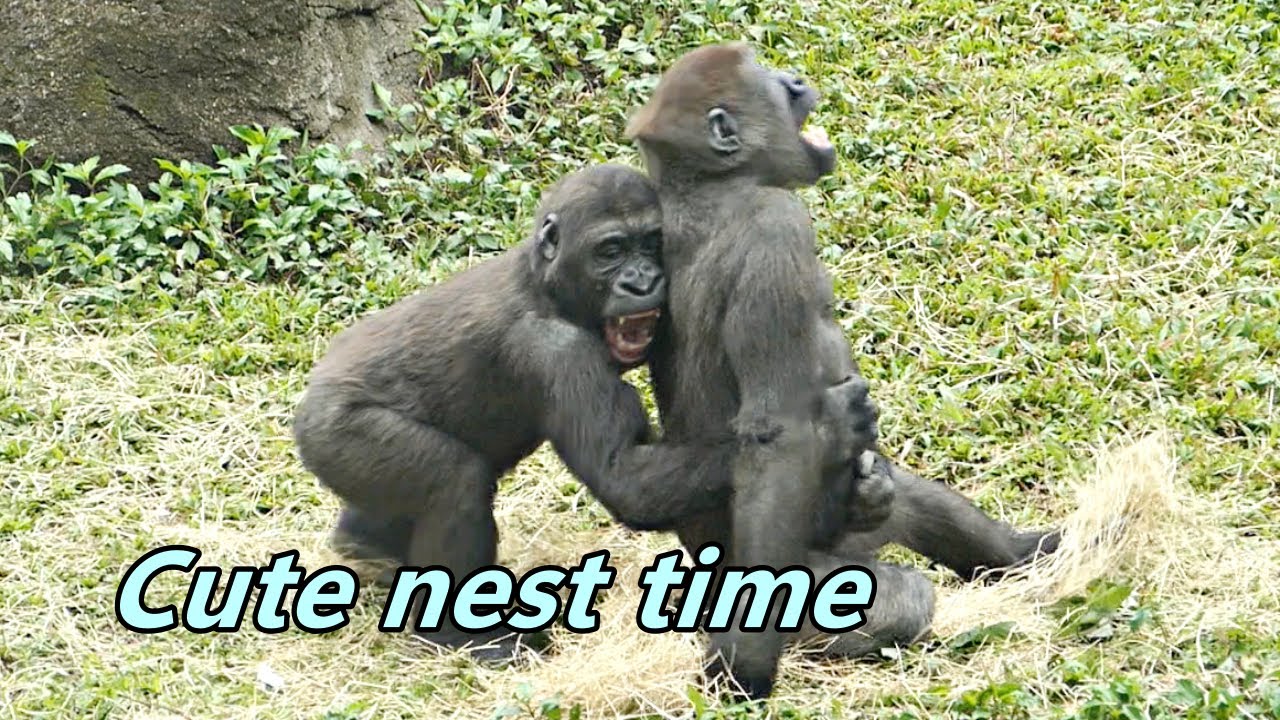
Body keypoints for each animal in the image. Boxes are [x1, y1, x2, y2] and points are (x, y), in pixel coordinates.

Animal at [291, 163, 880, 662]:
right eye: (611, 250)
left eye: (651, 244)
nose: (643, 281)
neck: (547, 287)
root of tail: (312, 389)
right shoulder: (558, 352)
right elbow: (626, 479)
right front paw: (832, 429)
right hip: (335, 430)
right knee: (450, 481)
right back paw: (460, 636)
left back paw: (366, 547)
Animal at [624, 43, 1060, 699]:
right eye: (774, 85)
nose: (797, 80)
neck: (712, 187)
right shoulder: (776, 228)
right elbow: (779, 432)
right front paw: (745, 667)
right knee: (905, 597)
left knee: (912, 502)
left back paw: (1024, 553)